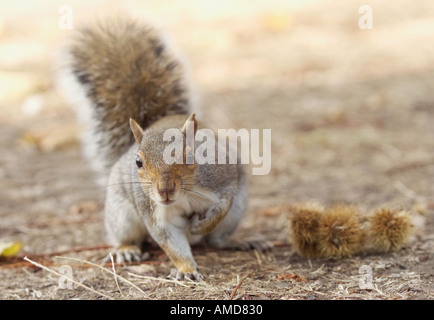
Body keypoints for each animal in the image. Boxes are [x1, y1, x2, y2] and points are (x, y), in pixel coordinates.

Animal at [56, 16, 270, 280]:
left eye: (190, 157)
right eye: (138, 162)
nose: (164, 191)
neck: (184, 196)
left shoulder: (224, 181)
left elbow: (221, 208)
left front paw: (201, 225)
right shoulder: (155, 215)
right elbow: (171, 244)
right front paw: (186, 270)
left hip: (237, 211)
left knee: (217, 240)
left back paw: (239, 241)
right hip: (120, 214)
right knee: (125, 236)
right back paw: (126, 250)